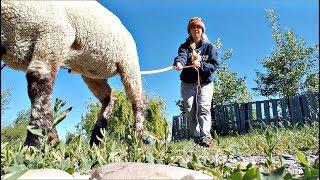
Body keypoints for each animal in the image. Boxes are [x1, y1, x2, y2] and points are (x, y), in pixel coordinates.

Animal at [0, 0, 146, 146]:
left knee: (138, 100)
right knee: (109, 97)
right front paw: (50, 138)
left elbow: (38, 83)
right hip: (92, 72)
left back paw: (136, 136)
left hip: (129, 63)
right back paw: (96, 139)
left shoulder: (54, 33)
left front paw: (36, 142)